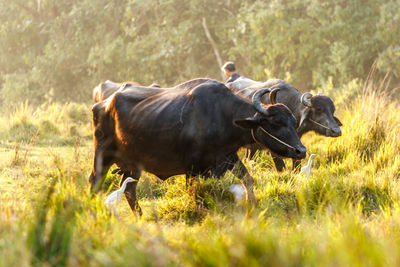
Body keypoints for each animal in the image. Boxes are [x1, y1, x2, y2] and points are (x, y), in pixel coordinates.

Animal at [90, 78, 306, 215]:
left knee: (128, 189)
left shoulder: (228, 158)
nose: (301, 151)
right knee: (95, 181)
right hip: (103, 155)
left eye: (292, 120)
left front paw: (253, 206)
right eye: (275, 123)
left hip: (133, 165)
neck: (224, 116)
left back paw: (140, 216)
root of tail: (103, 104)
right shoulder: (194, 168)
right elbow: (197, 192)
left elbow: (248, 180)